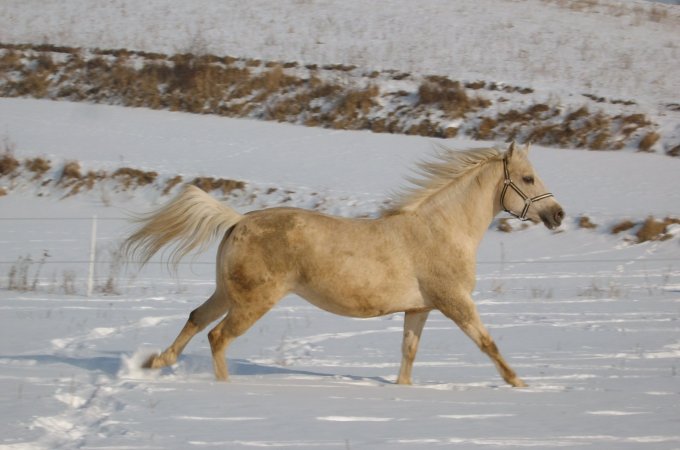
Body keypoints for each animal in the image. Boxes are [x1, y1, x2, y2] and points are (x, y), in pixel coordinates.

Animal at [122, 142, 564, 386]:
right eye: (527, 178)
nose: (558, 216)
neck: (440, 229)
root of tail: (239, 221)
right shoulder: (455, 302)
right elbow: (488, 344)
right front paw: (519, 383)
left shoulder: (419, 309)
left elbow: (408, 353)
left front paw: (402, 389)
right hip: (252, 302)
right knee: (218, 337)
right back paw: (224, 388)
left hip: (227, 292)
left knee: (196, 319)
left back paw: (155, 362)